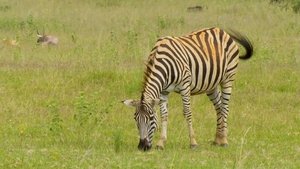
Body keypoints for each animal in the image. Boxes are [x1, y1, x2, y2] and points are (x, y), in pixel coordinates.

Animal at [123, 27, 252, 151]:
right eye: (135, 119)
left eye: (150, 119)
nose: (142, 147)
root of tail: (221, 31)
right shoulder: (163, 91)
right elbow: (164, 114)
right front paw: (161, 143)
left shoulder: (185, 86)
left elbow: (187, 112)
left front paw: (193, 143)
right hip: (211, 85)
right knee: (219, 107)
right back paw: (218, 139)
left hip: (228, 78)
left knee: (225, 107)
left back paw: (224, 140)